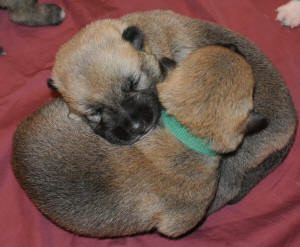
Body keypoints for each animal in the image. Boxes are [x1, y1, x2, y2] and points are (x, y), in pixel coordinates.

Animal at [48, 9, 296, 212]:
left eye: (134, 83)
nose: (138, 127)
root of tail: (293, 124)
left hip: (235, 159)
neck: (148, 44)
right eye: (96, 112)